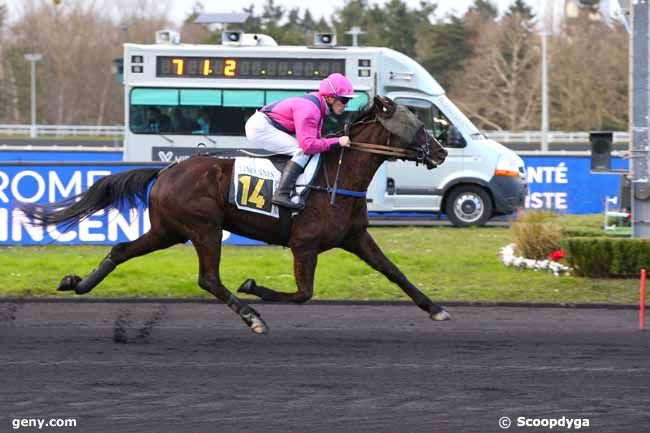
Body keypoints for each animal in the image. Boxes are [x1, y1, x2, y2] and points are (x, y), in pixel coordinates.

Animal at [19, 96, 446, 334]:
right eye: (418, 124)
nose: (441, 153)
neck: (335, 178)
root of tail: (166, 171)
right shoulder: (304, 244)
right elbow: (303, 294)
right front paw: (254, 286)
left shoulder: (356, 237)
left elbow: (394, 272)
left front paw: (435, 309)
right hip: (204, 228)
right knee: (208, 278)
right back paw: (252, 316)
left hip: (168, 230)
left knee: (122, 249)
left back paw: (78, 284)